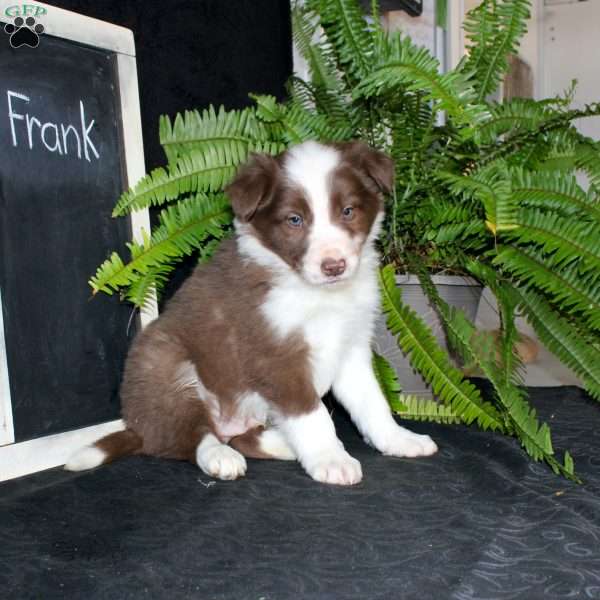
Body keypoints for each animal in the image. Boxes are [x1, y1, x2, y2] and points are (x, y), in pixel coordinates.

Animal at [67, 139, 436, 482]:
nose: (334, 266)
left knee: (239, 437)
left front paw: (399, 439)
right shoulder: (275, 354)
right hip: (165, 366)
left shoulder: (352, 345)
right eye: (294, 220)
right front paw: (331, 460)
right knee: (191, 436)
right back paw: (221, 457)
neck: (317, 294)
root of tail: (136, 427)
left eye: (347, 211)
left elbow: (372, 403)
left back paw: (283, 445)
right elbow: (311, 414)